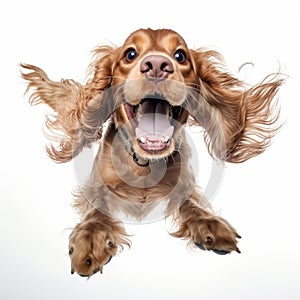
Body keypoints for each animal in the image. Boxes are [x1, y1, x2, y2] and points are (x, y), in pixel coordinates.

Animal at [20, 28, 282, 276]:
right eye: (130, 54)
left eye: (180, 56)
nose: (157, 65)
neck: (143, 163)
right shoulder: (95, 184)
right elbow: (97, 210)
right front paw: (91, 239)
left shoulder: (184, 183)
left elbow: (190, 203)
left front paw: (209, 223)